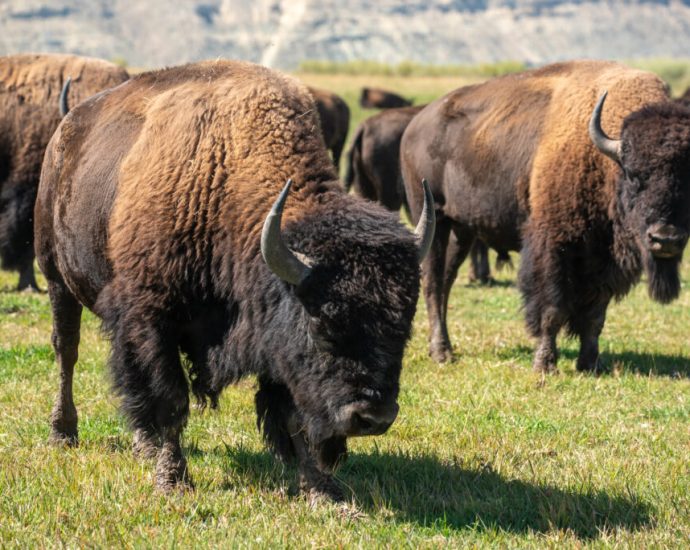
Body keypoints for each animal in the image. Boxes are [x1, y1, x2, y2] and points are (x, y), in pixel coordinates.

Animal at [35, 60, 433, 501]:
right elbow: (171, 401)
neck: (222, 176)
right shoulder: (153, 320)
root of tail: (66, 130)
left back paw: (142, 445)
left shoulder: (273, 342)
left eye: (404, 325)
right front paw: (173, 480)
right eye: (322, 324)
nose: (373, 417)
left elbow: (291, 415)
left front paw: (321, 490)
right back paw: (63, 433)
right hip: (56, 277)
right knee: (67, 351)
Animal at [402, 60, 690, 371]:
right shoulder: (553, 246)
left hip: (461, 231)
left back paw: (446, 349)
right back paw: (441, 352)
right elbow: (552, 309)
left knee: (446, 281)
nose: (666, 238)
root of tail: (415, 125)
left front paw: (590, 363)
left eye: (688, 180)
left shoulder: (603, 261)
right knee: (432, 283)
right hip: (432, 219)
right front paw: (544, 364)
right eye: (634, 175)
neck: (602, 160)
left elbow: (595, 314)